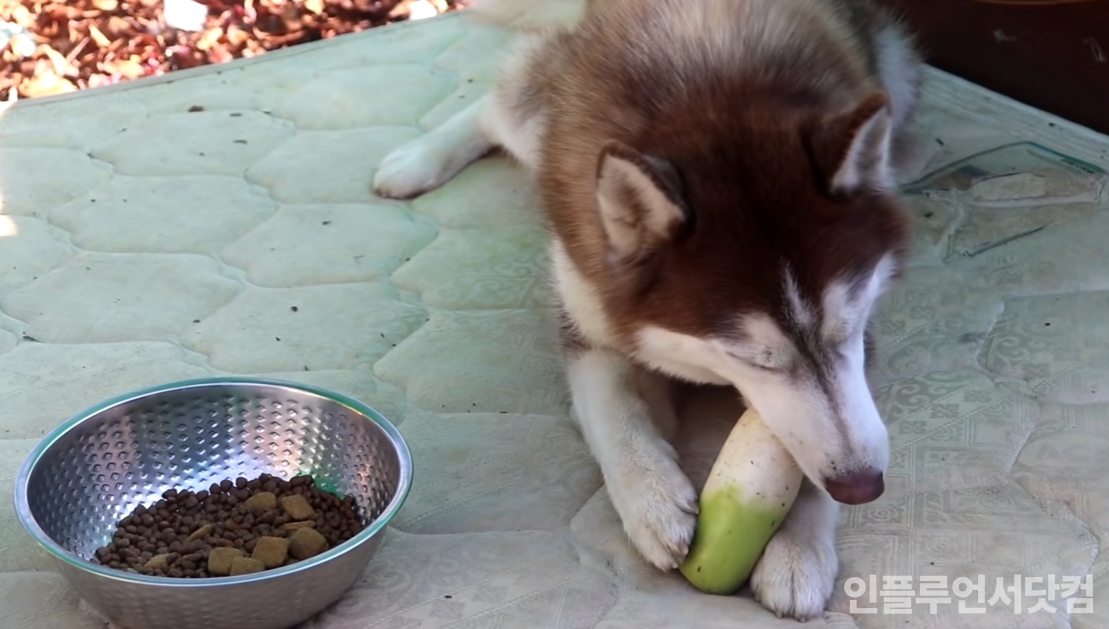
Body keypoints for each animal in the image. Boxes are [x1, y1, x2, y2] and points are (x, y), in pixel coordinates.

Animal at [377, 0, 922, 621]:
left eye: (847, 330)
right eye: (752, 359)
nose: (865, 486)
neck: (716, 93)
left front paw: (797, 546)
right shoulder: (590, 311)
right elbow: (612, 410)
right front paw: (652, 499)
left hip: (897, 76)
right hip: (545, 123)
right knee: (502, 104)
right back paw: (418, 159)